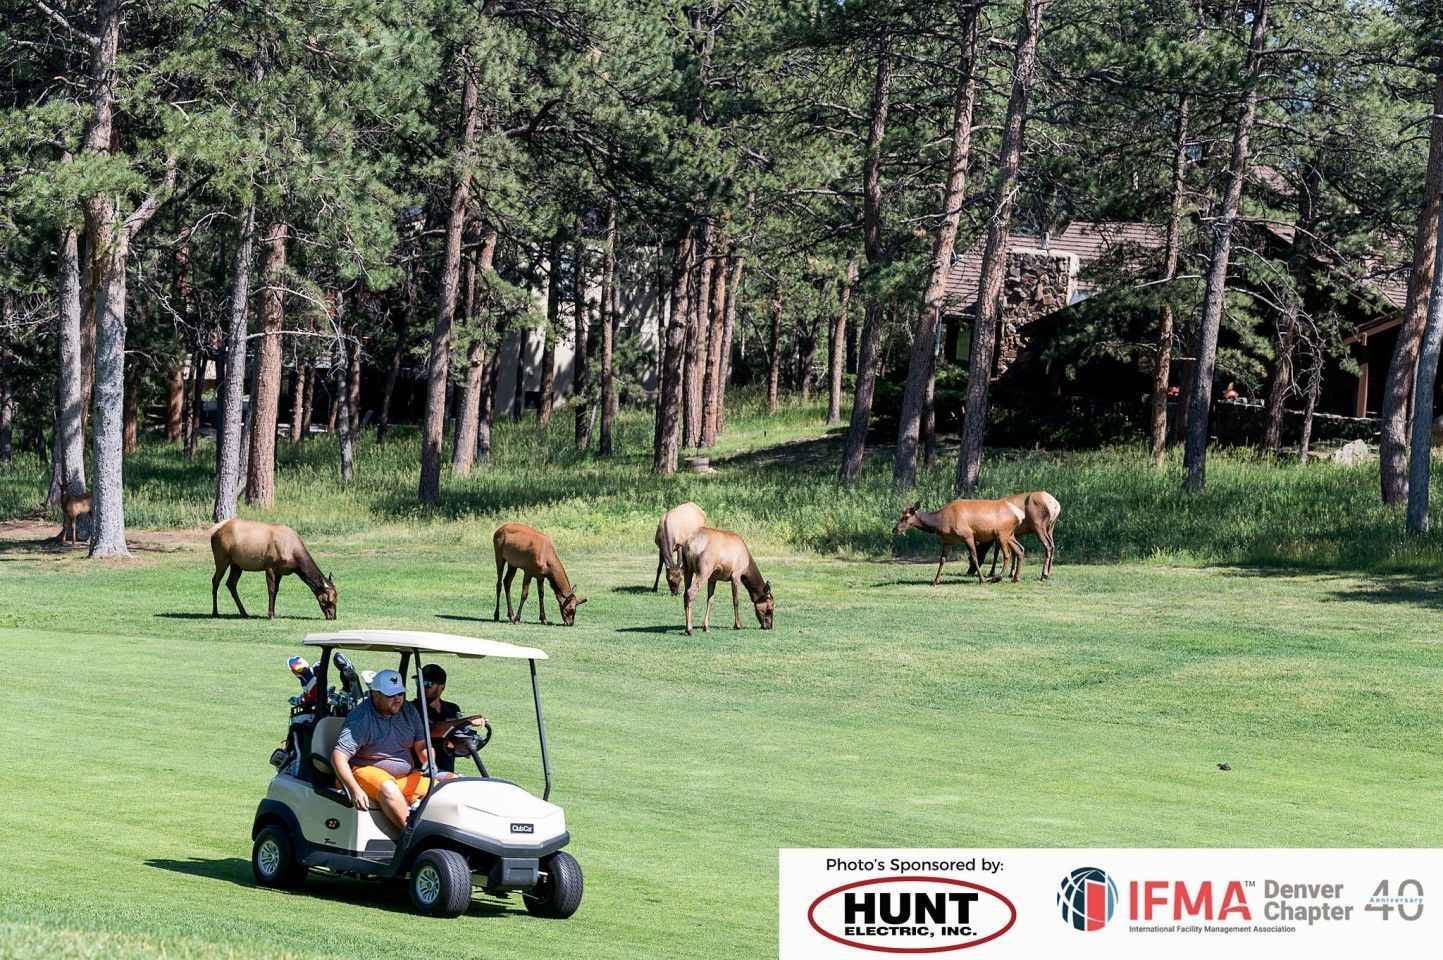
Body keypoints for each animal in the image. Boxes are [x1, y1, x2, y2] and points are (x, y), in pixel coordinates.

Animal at [210, 518, 338, 620]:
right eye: (327, 600)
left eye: (337, 599)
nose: (333, 616)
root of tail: (213, 533)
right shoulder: (269, 566)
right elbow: (271, 590)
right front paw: (270, 615)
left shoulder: (280, 571)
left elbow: (276, 590)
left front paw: (274, 613)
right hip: (221, 558)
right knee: (215, 581)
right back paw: (215, 612)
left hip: (236, 565)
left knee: (230, 583)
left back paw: (244, 612)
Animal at [891, 499, 1025, 586]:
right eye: (900, 516)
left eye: (906, 517)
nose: (895, 529)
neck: (940, 524)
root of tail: (1020, 514)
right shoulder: (948, 541)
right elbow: (942, 560)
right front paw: (935, 581)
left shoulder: (968, 535)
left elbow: (974, 558)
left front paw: (982, 580)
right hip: (1010, 535)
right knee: (1020, 549)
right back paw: (1015, 578)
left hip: (1002, 533)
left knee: (1007, 555)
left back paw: (997, 578)